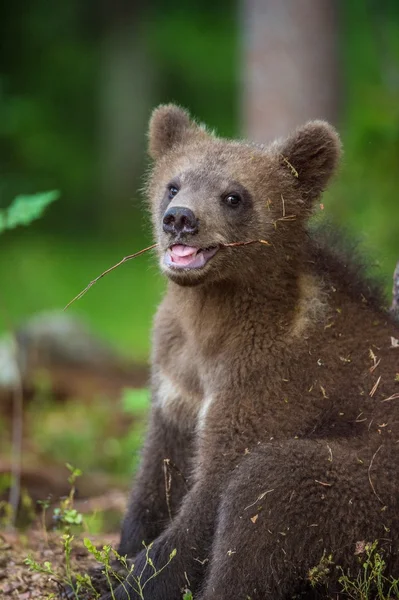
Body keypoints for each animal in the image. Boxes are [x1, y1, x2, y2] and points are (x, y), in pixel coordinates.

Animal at [100, 105, 399, 596]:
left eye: (234, 196)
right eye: (173, 184)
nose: (179, 219)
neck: (212, 323)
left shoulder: (271, 380)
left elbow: (215, 490)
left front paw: (132, 580)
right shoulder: (176, 372)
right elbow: (158, 471)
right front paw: (115, 557)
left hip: (375, 491)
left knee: (270, 488)